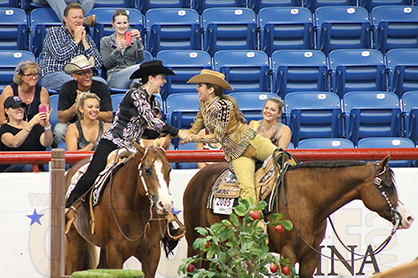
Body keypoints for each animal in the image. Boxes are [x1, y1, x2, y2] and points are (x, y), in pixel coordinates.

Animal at [65, 143, 173, 278]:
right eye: (147, 170)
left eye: (169, 170)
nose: (165, 204)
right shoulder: (115, 252)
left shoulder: (152, 254)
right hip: (74, 239)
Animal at [185, 155, 414, 276]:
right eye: (387, 186)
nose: (408, 217)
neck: (308, 199)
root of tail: (197, 177)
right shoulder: (288, 254)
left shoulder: (311, 256)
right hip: (195, 241)